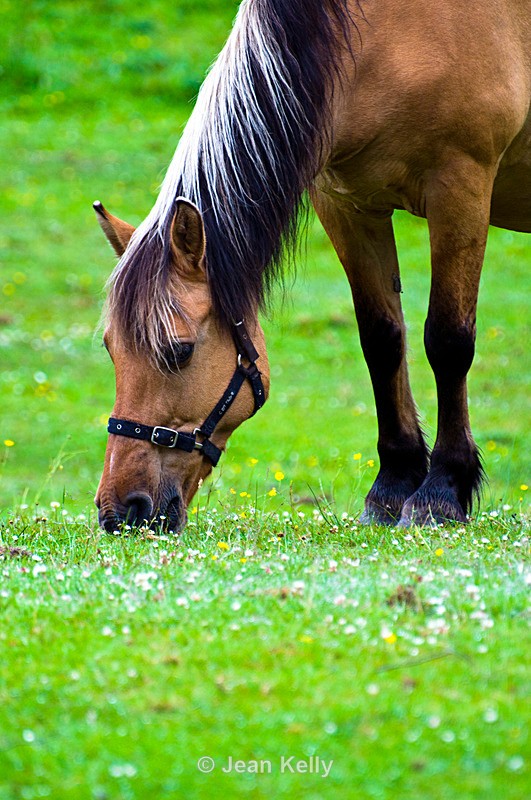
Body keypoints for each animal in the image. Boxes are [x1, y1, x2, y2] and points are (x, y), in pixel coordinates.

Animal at [93, 0, 530, 532]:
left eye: (179, 351)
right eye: (110, 349)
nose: (120, 512)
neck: (382, 37)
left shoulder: (462, 185)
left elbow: (448, 340)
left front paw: (441, 491)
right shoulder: (346, 202)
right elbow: (382, 341)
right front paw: (392, 487)